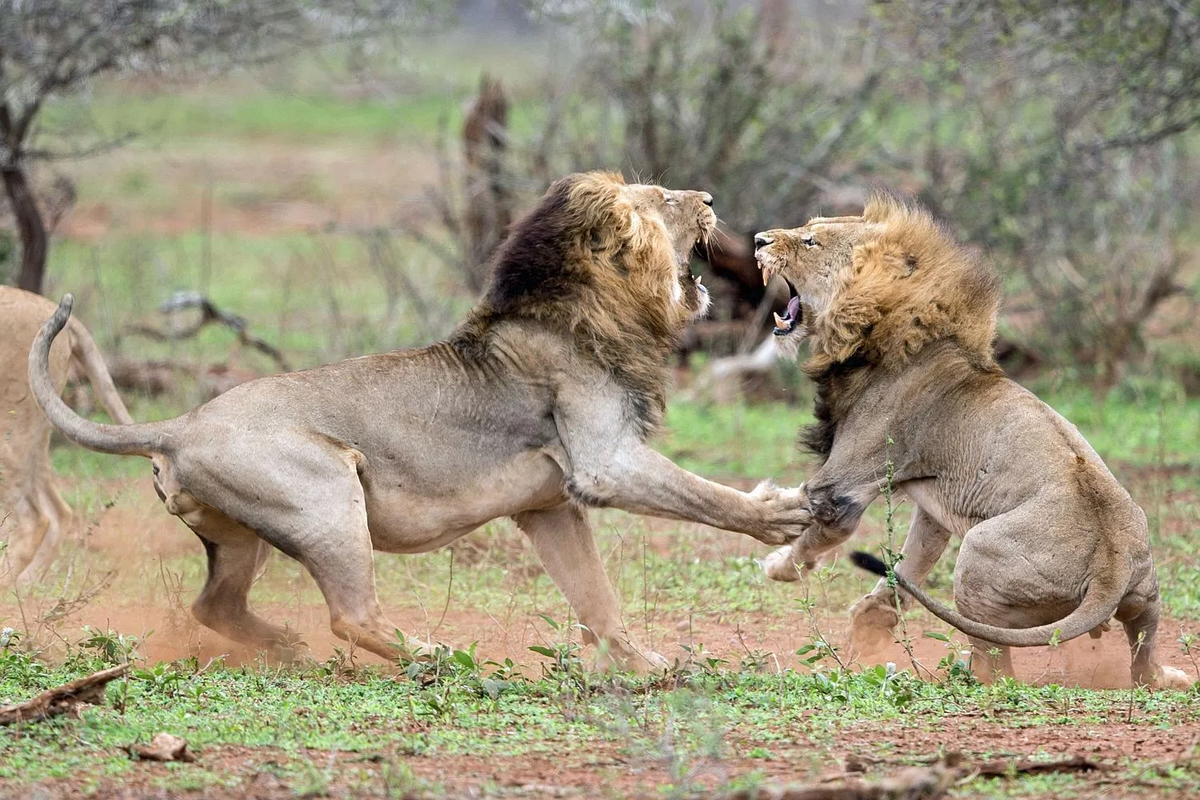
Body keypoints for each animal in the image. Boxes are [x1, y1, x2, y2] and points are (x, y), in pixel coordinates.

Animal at [30, 173, 806, 671]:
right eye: (663, 200)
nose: (711, 200)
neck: (595, 308)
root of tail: (179, 424)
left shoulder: (550, 506)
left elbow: (596, 596)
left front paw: (645, 663)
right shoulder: (604, 462)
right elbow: (705, 495)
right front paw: (782, 515)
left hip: (241, 534)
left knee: (212, 607)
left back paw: (283, 646)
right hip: (327, 495)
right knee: (350, 614)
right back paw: (433, 655)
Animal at [753, 194, 1185, 690]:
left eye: (811, 240)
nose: (758, 240)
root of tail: (1110, 567)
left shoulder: (843, 485)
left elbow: (814, 531)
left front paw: (777, 563)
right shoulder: (932, 505)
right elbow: (909, 567)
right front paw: (868, 626)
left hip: (977, 556)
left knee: (996, 668)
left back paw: (959, 674)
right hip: (1146, 596)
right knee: (1142, 658)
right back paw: (1169, 676)